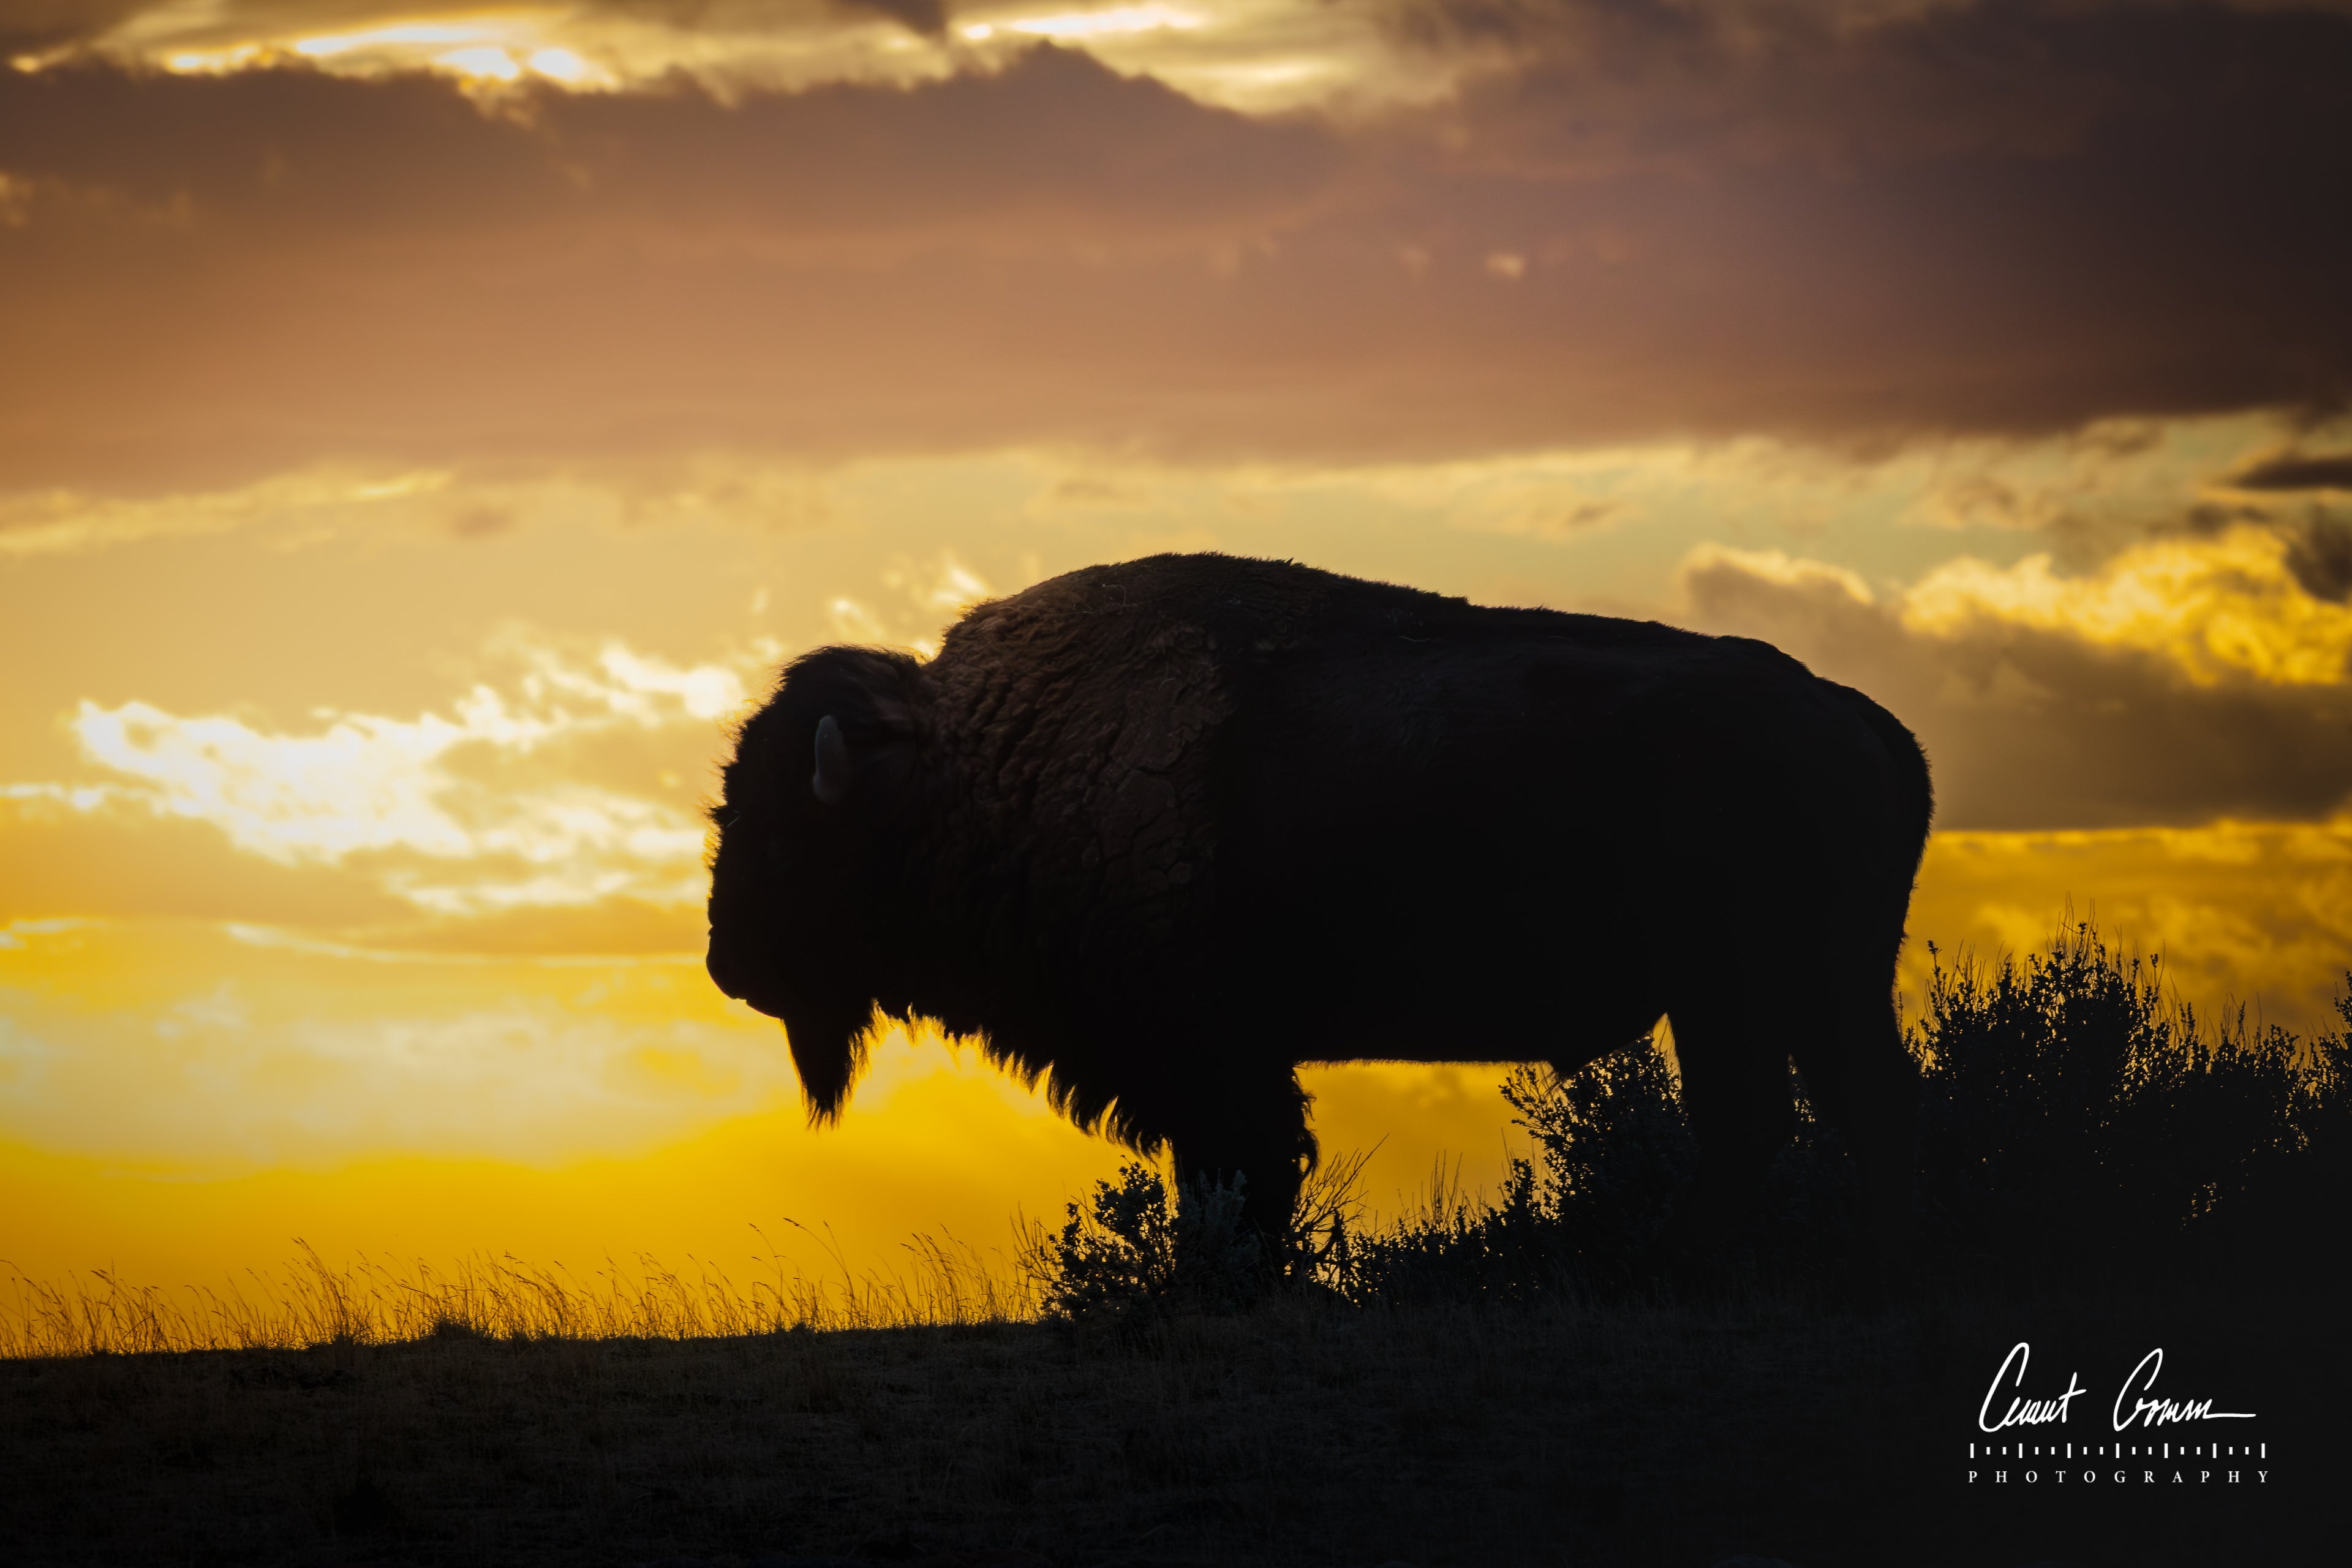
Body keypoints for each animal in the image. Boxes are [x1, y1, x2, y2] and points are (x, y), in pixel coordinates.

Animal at [706, 553, 1929, 1261]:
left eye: (782, 833)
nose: (727, 964)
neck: (975, 769)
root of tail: (1860, 718)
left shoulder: (1211, 1061)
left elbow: (1238, 1182)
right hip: (1796, 991)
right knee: (1841, 1107)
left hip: (1744, 992)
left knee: (1774, 1116)